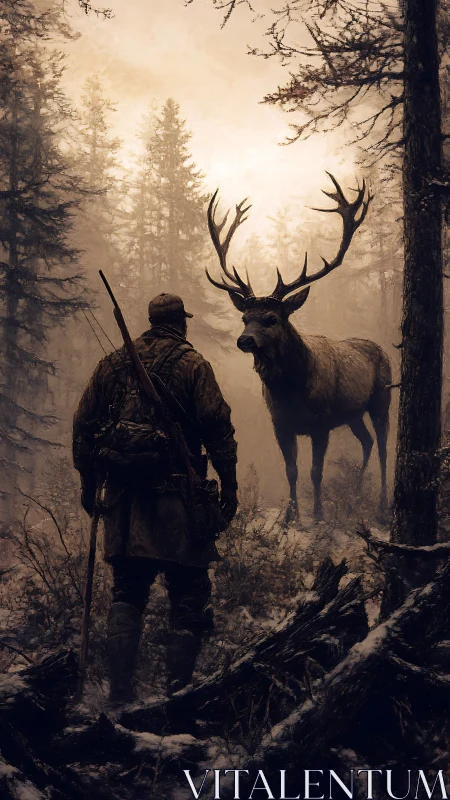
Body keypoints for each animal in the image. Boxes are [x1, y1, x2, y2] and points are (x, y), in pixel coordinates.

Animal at [206, 174, 392, 524]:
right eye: (244, 317)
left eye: (272, 318)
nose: (244, 340)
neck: (291, 390)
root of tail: (380, 348)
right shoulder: (280, 424)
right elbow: (291, 470)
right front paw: (291, 515)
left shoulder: (321, 422)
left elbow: (316, 472)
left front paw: (317, 515)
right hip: (352, 413)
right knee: (367, 441)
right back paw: (355, 493)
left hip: (381, 398)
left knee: (385, 446)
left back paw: (381, 505)